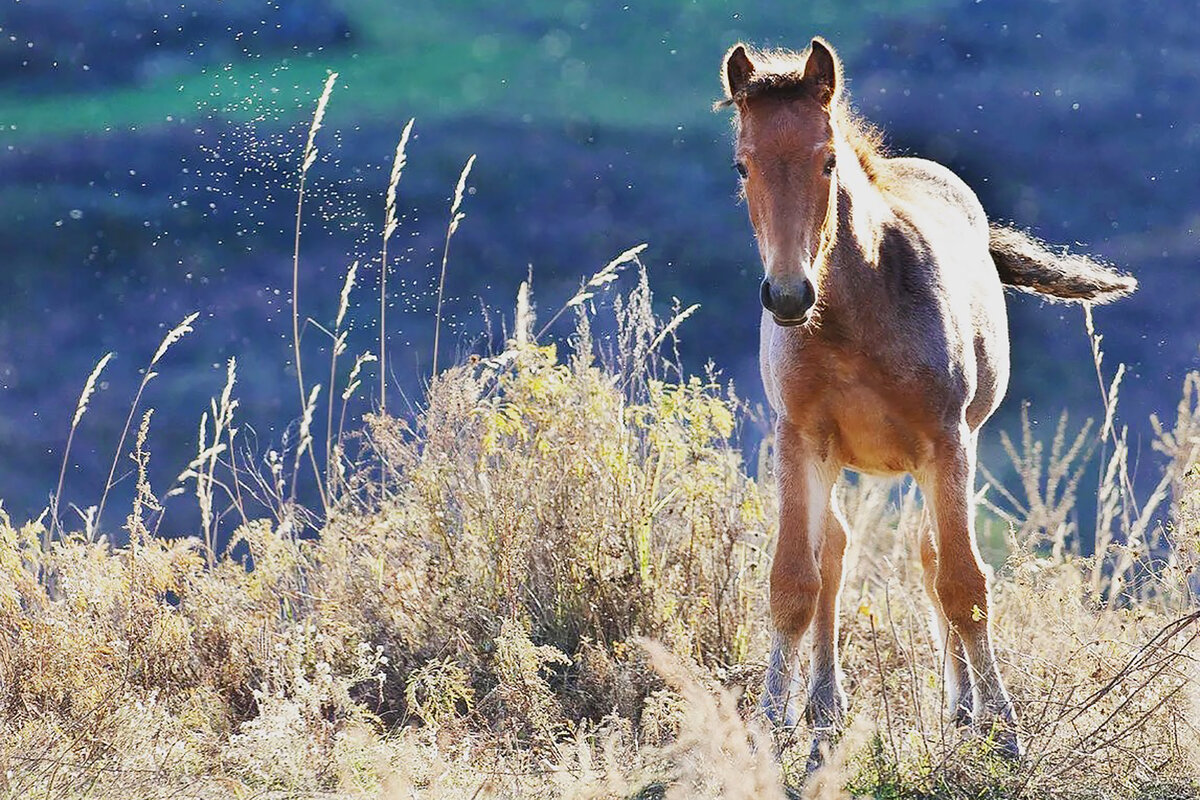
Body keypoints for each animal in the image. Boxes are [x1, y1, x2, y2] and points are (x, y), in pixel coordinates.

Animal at [715, 35, 1137, 767]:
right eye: (743, 166)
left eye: (828, 160)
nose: (788, 295)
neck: (852, 316)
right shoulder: (799, 437)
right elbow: (795, 581)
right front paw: (772, 727)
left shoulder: (945, 439)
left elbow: (964, 583)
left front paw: (1005, 733)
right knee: (838, 552)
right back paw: (825, 713)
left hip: (940, 453)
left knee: (932, 555)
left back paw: (963, 710)